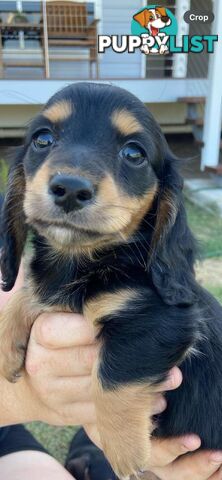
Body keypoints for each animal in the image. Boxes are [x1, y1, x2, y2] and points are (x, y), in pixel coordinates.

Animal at [0, 80, 222, 478]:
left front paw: (125, 452)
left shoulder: (160, 321)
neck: (82, 261)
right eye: (43, 139)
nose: (70, 189)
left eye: (134, 153)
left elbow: (113, 375)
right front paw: (7, 346)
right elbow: (32, 288)